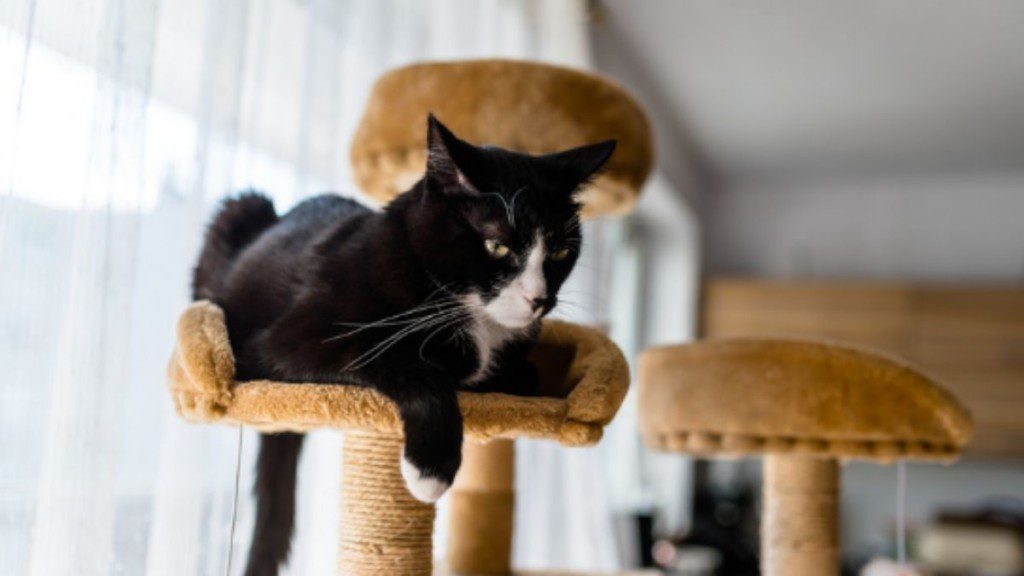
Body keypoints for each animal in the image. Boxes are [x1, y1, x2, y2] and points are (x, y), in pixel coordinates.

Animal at [192, 114, 610, 569]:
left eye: (560, 253)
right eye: (497, 245)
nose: (539, 300)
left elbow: (524, 375)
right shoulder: (284, 343)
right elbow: (408, 362)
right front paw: (432, 467)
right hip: (239, 213)